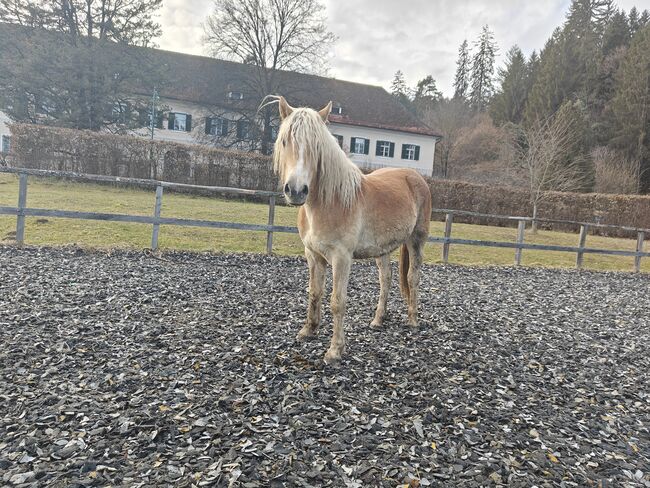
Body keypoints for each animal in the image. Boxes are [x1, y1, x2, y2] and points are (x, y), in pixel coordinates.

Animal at [272, 96, 432, 365]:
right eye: (285, 141)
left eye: (317, 146)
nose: (296, 190)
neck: (330, 202)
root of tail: (415, 176)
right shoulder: (313, 255)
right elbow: (315, 292)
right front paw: (308, 330)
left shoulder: (341, 258)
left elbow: (337, 302)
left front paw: (335, 350)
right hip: (383, 249)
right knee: (386, 279)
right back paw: (378, 320)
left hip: (416, 240)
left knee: (413, 277)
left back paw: (412, 320)